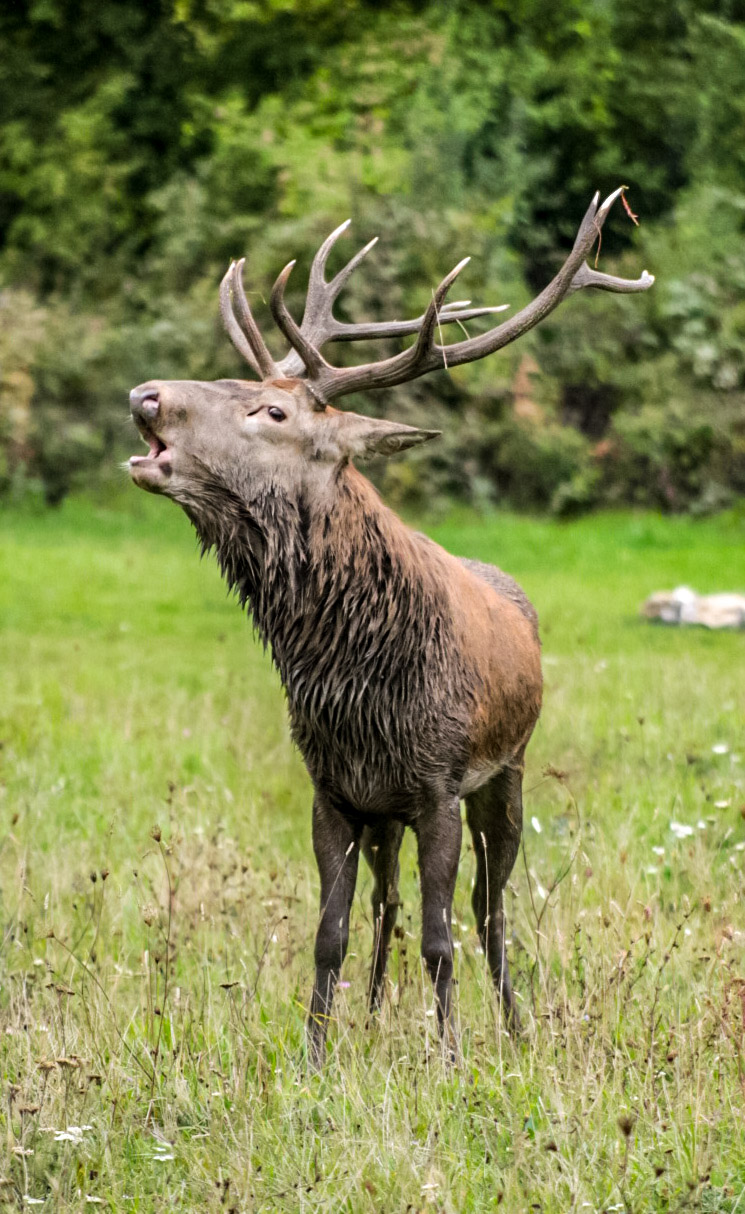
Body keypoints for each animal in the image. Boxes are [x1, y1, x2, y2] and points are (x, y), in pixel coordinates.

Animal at [128, 187, 653, 1066]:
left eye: (271, 410)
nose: (145, 397)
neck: (355, 680)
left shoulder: (438, 783)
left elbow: (443, 936)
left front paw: (451, 1055)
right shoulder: (337, 790)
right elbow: (329, 932)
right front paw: (314, 1055)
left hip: (506, 773)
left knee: (486, 907)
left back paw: (513, 1024)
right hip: (386, 816)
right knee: (387, 902)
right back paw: (374, 1012)